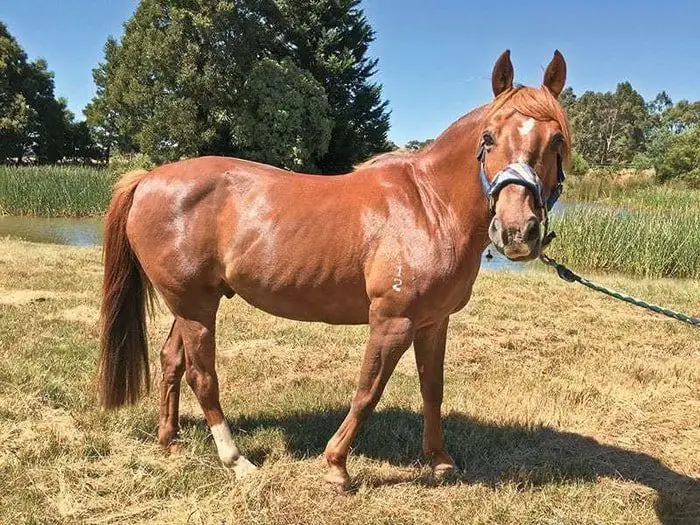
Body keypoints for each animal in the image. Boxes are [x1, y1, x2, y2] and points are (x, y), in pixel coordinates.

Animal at [97, 51, 568, 490]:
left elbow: (432, 389)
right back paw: (236, 460)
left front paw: (440, 461)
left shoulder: (433, 322)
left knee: (172, 361)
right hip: (195, 307)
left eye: (556, 140)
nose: (516, 230)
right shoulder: (392, 321)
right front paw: (337, 466)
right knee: (202, 375)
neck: (429, 205)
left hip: (193, 304)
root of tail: (148, 178)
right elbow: (368, 391)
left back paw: (170, 441)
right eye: (489, 137)